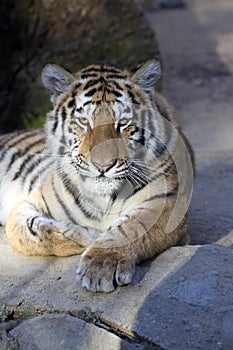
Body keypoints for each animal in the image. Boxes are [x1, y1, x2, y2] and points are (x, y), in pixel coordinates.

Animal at [0, 59, 194, 292]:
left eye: (123, 123)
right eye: (84, 122)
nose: (103, 166)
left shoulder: (168, 204)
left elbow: (131, 227)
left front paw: (102, 265)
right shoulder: (31, 201)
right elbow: (27, 232)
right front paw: (87, 236)